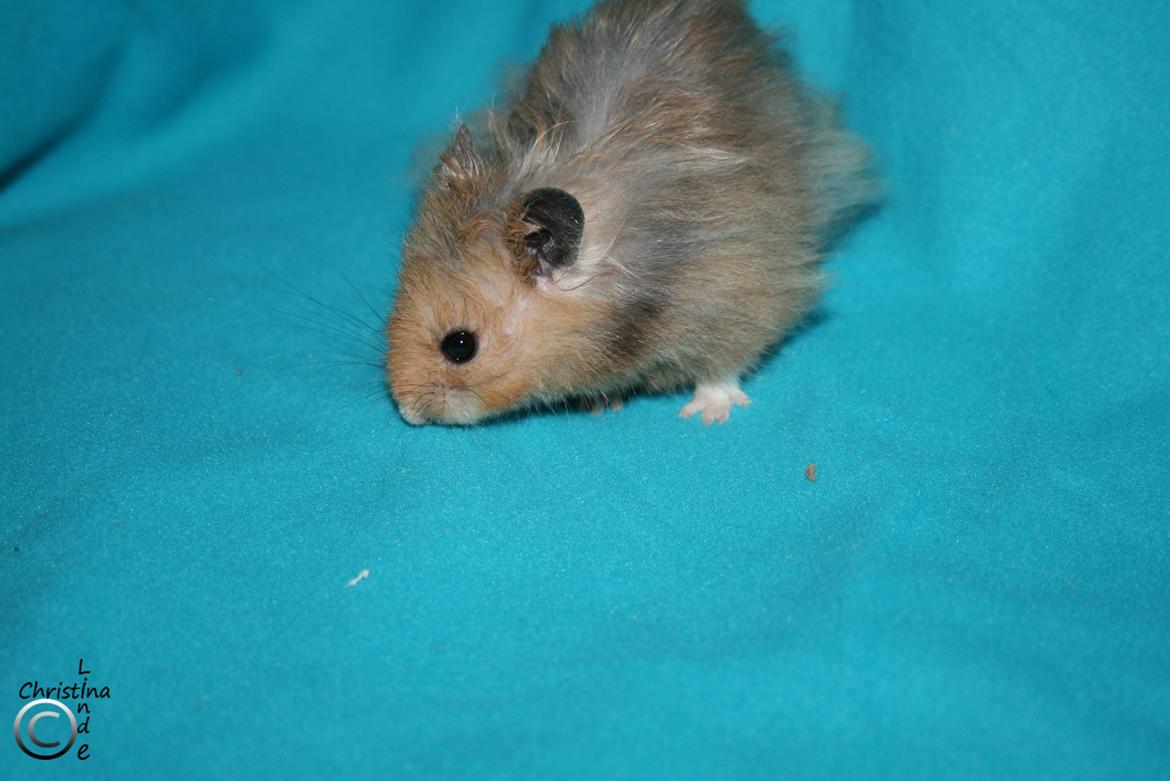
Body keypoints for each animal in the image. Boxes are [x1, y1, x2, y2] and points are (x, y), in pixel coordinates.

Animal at [387, 0, 875, 426]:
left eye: (460, 346)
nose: (407, 413)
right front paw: (599, 404)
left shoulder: (740, 290)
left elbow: (724, 361)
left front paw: (709, 414)